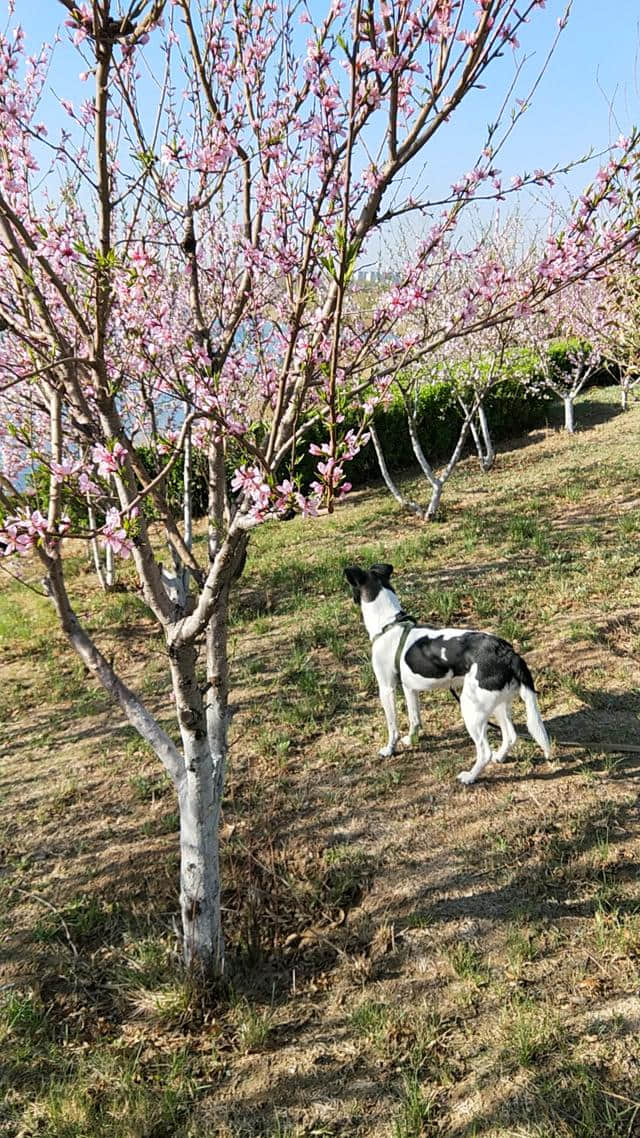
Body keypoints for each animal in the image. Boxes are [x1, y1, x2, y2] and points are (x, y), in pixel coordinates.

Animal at [343, 562, 548, 782]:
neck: (389, 624)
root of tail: (508, 653)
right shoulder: (409, 688)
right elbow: (415, 719)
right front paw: (412, 739)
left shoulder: (387, 688)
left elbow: (392, 727)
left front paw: (390, 749)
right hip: (497, 704)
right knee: (510, 735)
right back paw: (500, 757)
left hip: (471, 707)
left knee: (485, 751)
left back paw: (470, 777)